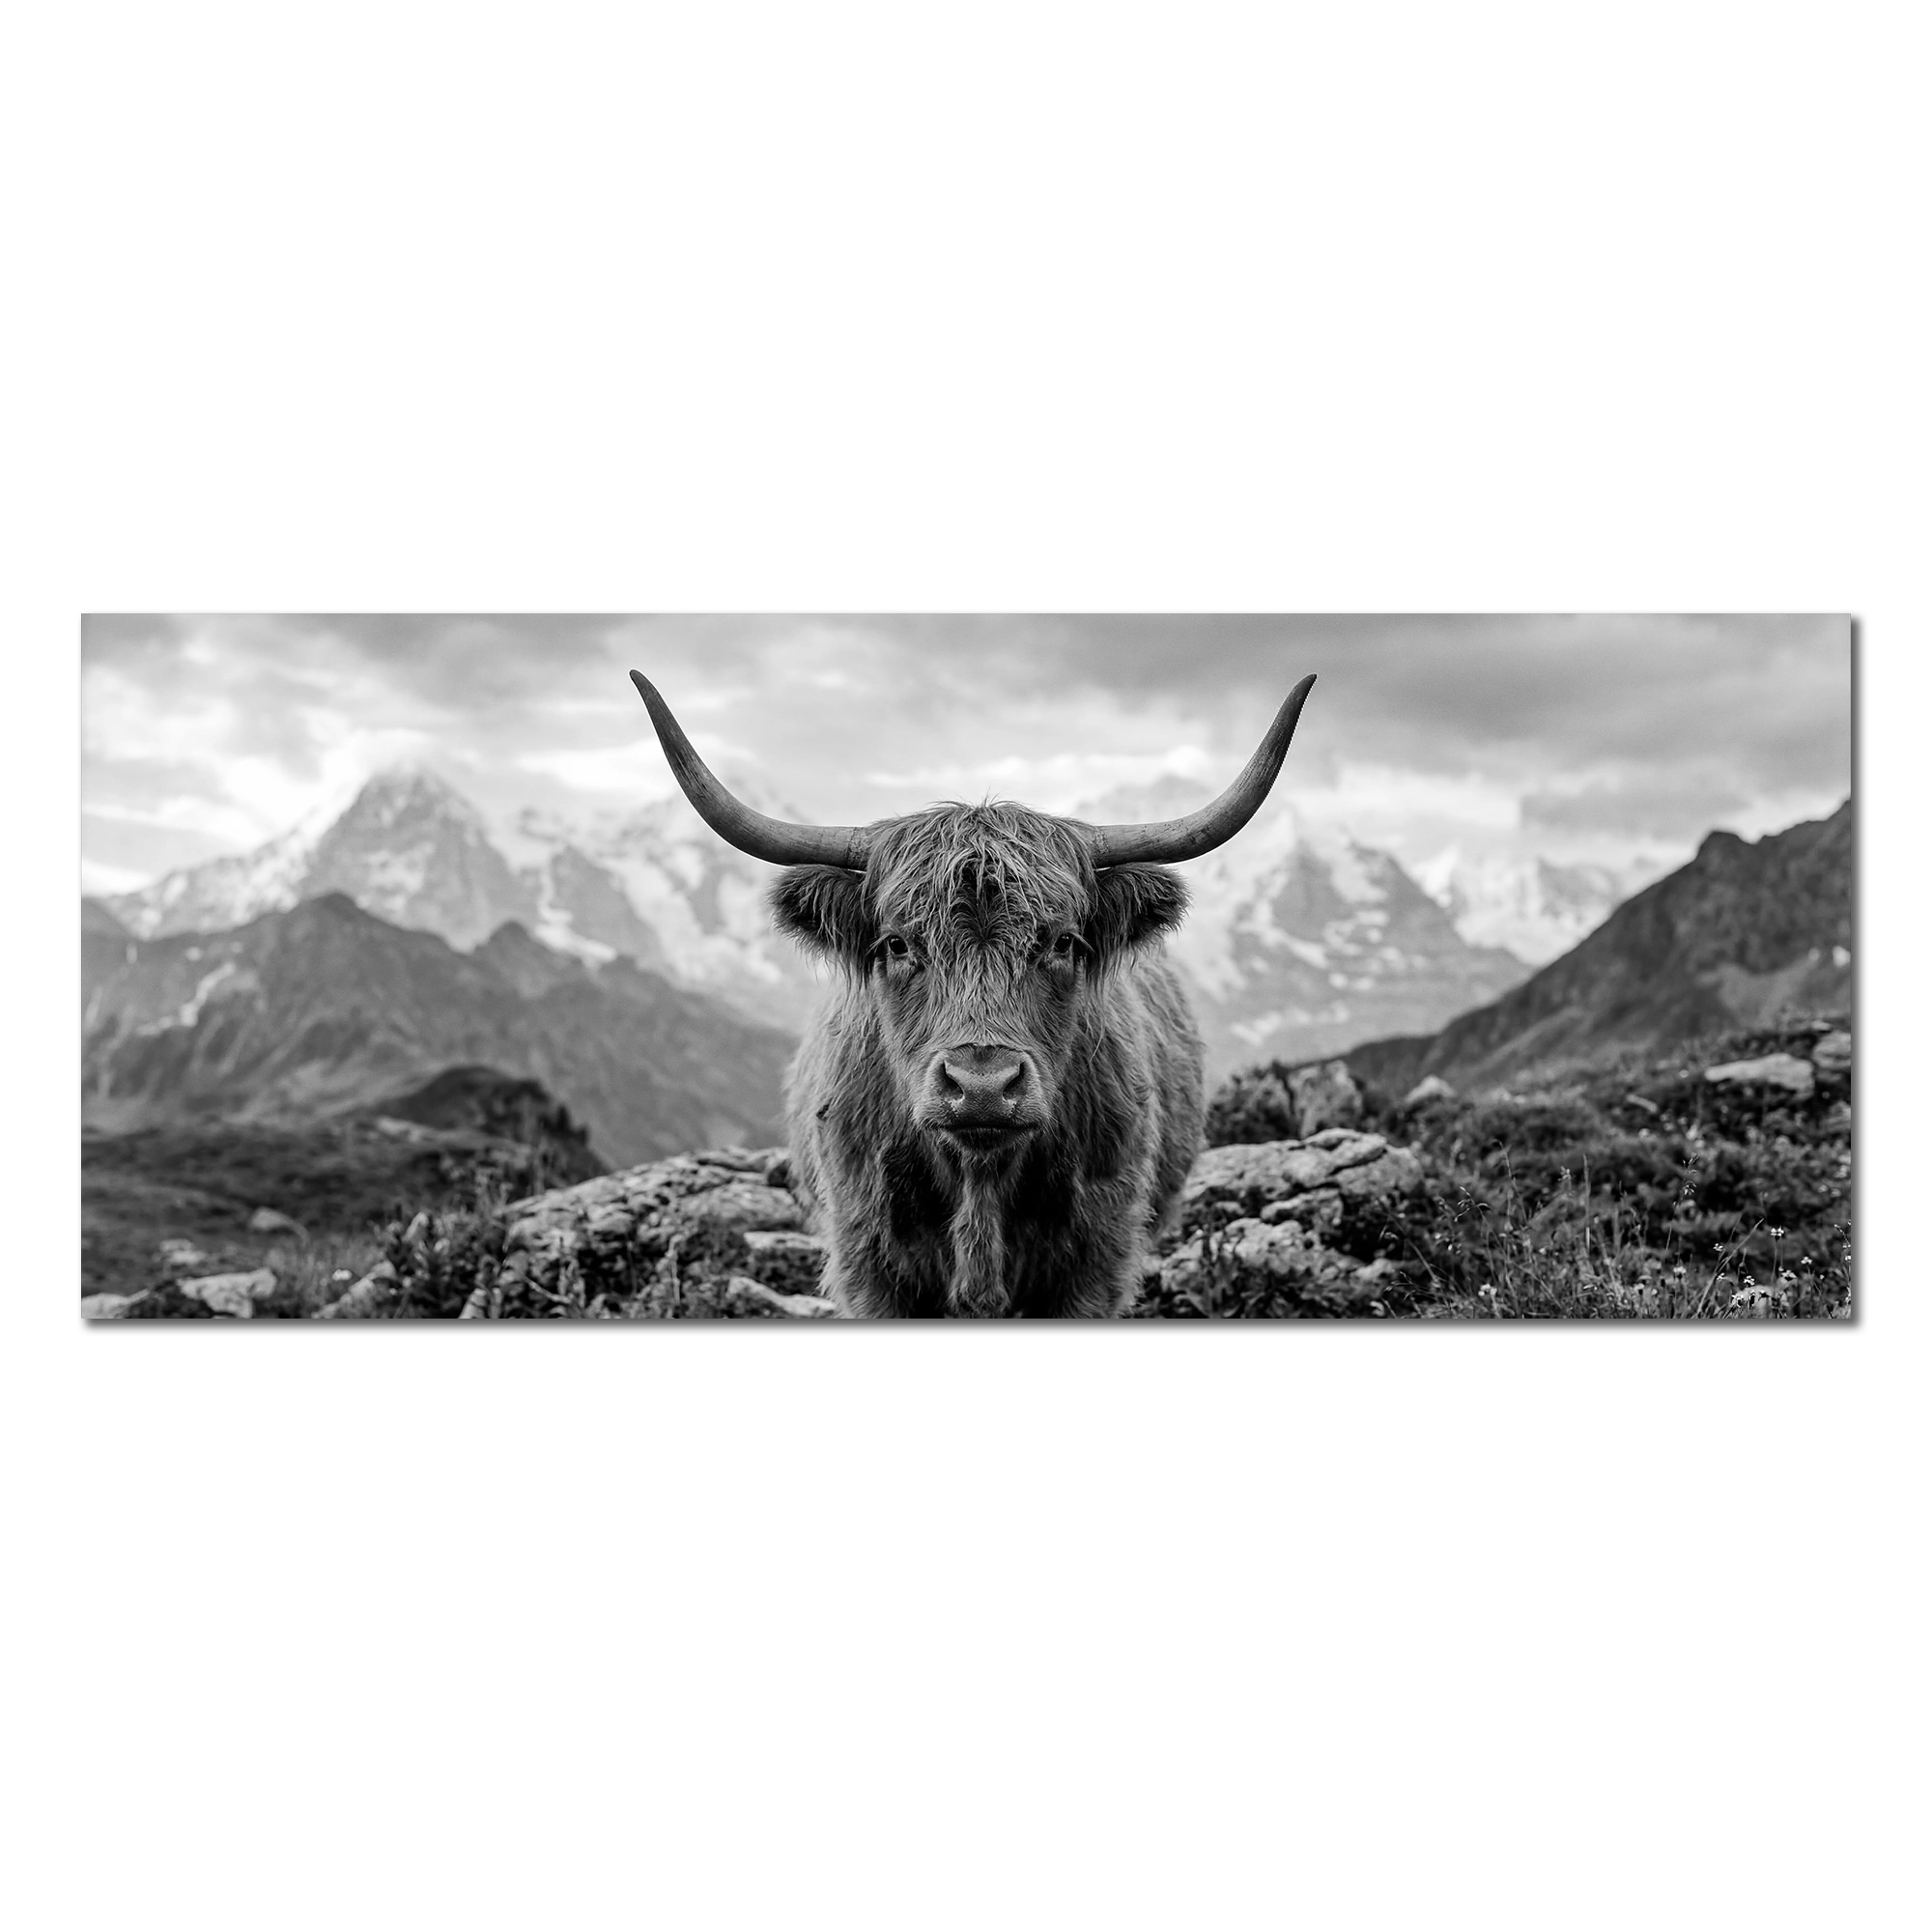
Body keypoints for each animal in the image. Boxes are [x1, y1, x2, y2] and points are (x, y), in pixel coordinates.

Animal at [630, 668, 1316, 1318]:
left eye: (1063, 942)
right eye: (897, 944)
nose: (982, 1086)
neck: (978, 1179)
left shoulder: (1098, 1259)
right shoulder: (866, 1264)